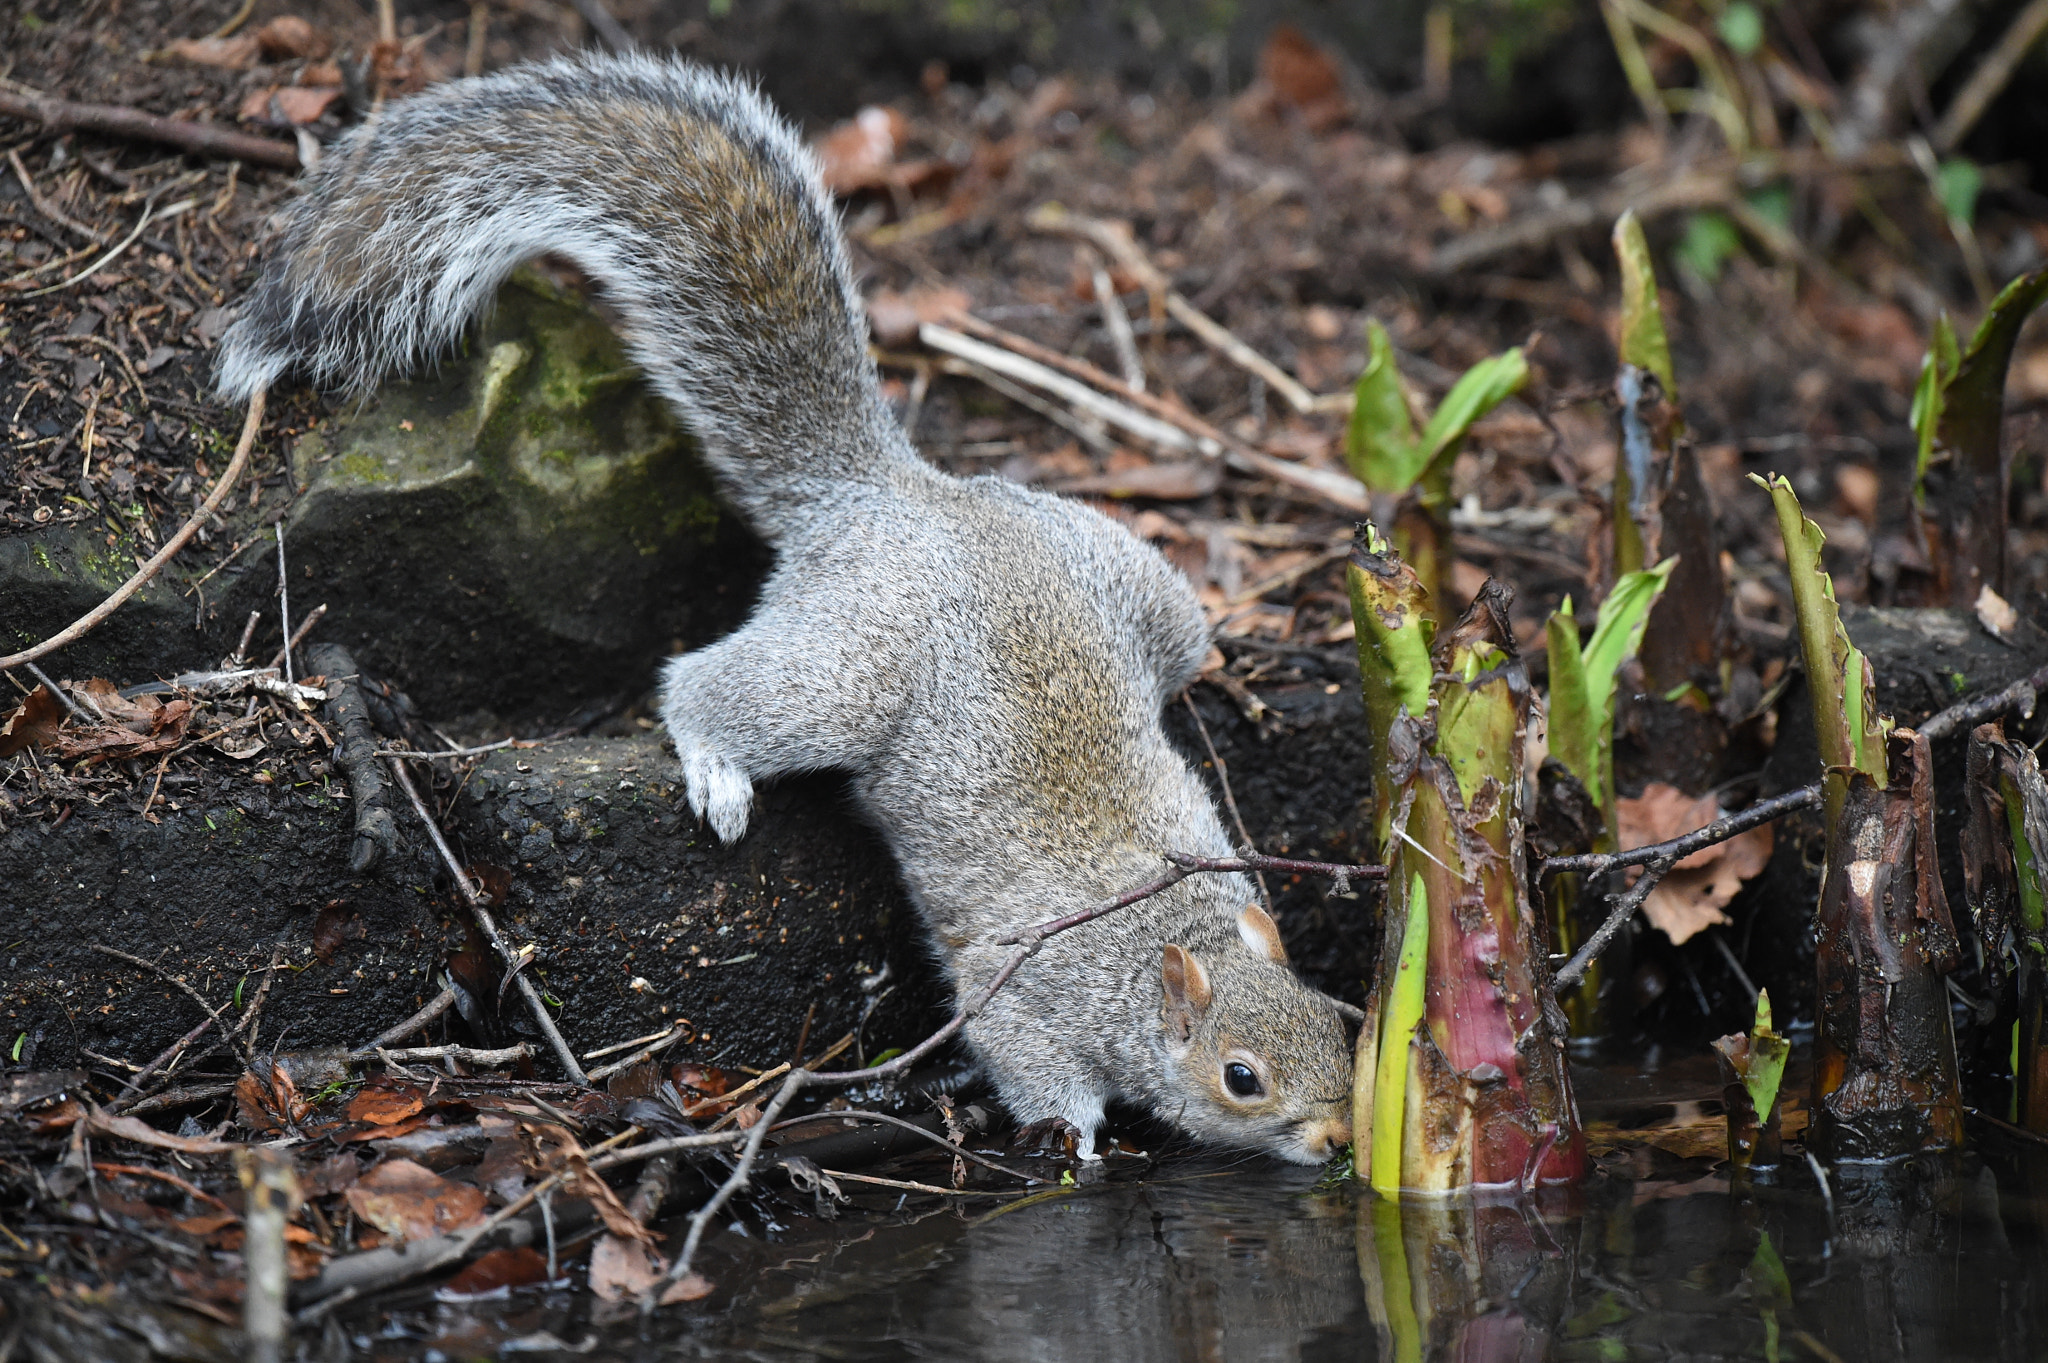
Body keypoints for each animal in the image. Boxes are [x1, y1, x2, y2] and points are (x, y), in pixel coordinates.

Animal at [216, 53, 1351, 1154]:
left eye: (1341, 1025)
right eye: (1240, 1076)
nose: (1341, 1137)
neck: (1158, 938)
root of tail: (887, 494)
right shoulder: (1022, 985)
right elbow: (1028, 1059)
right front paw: (1072, 1143)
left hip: (1145, 592)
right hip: (846, 669)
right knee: (703, 683)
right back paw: (717, 768)